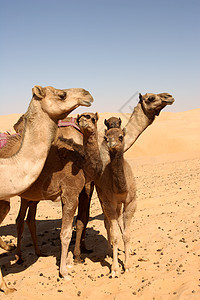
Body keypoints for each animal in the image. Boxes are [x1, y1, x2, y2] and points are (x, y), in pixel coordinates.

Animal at [0, 84, 94, 292]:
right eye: (62, 94)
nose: (87, 93)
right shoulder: (71, 192)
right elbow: (66, 232)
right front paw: (65, 272)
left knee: (26, 220)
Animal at [96, 126, 137, 276]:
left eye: (120, 136)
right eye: (106, 137)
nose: (111, 143)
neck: (120, 189)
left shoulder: (131, 202)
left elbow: (126, 234)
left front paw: (128, 265)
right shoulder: (108, 202)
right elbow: (115, 236)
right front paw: (114, 269)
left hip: (119, 204)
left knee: (119, 220)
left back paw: (129, 250)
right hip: (101, 197)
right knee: (107, 222)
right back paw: (108, 250)